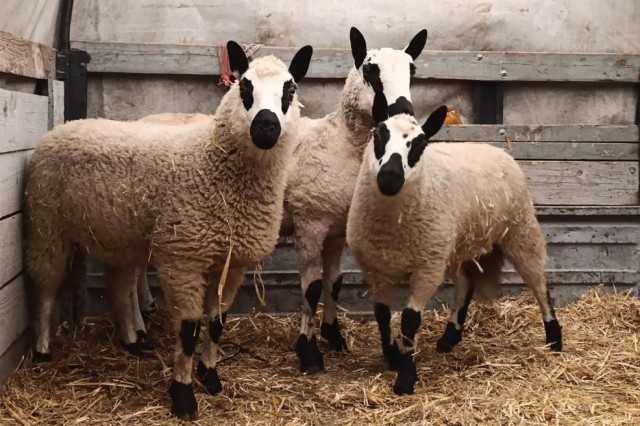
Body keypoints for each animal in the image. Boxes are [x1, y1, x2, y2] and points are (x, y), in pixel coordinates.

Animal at [23, 41, 314, 422]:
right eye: (244, 86)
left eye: (290, 89)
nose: (266, 126)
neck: (213, 164)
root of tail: (63, 127)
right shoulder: (183, 258)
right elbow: (188, 330)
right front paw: (183, 396)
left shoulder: (232, 263)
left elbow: (217, 323)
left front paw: (210, 375)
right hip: (46, 225)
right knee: (45, 286)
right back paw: (43, 349)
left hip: (120, 235)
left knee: (120, 287)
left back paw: (133, 340)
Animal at [282, 26, 428, 372]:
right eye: (370, 70)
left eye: (412, 70)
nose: (402, 112)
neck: (342, 141)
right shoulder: (309, 223)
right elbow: (311, 288)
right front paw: (309, 353)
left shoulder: (337, 230)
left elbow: (333, 283)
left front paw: (333, 336)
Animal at [348, 92, 564, 396]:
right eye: (378, 134)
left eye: (421, 143)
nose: (390, 177)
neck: (391, 226)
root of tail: (493, 148)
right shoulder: (375, 268)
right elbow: (381, 315)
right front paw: (392, 357)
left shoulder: (427, 268)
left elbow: (409, 321)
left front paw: (405, 378)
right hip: (458, 243)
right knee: (465, 284)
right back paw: (449, 338)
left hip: (520, 229)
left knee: (539, 283)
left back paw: (554, 338)